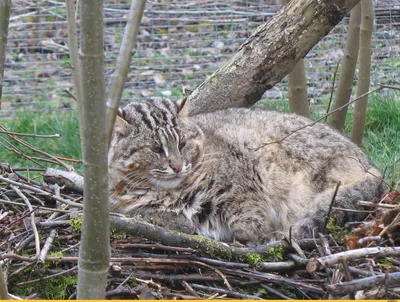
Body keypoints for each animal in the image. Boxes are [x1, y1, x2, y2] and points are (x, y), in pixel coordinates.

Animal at [108, 98, 382, 244]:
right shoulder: (123, 206)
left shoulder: (244, 175)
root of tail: (369, 164)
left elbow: (249, 214)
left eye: (183, 143)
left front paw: (252, 235)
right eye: (156, 148)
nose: (176, 166)